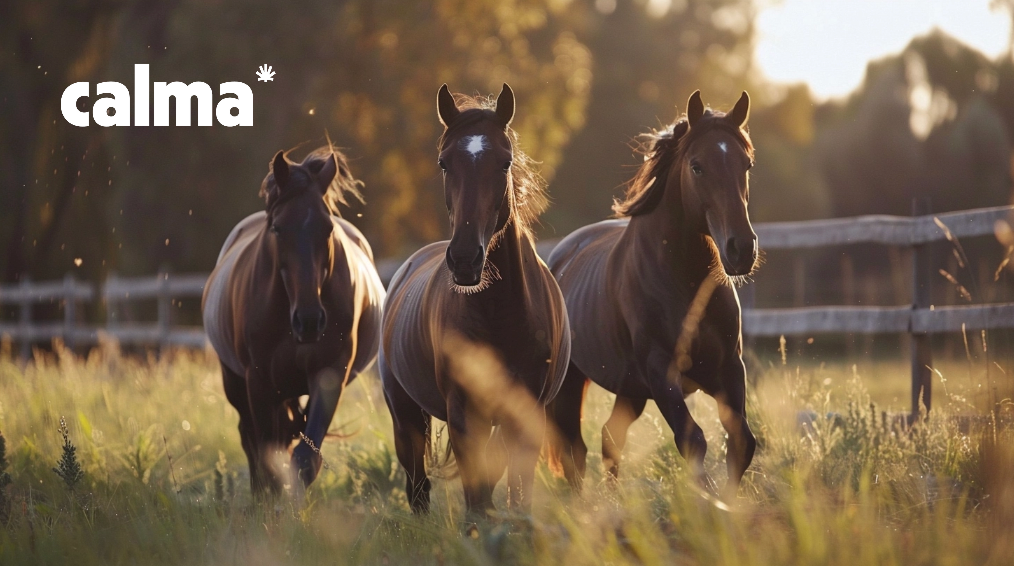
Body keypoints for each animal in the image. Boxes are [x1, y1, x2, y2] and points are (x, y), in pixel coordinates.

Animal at [202, 146, 385, 494]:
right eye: (278, 228)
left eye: (328, 229)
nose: (310, 320)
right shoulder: (258, 381)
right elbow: (266, 460)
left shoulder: (329, 375)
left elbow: (304, 460)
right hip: (236, 383)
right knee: (252, 443)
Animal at [379, 84, 570, 516]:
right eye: (444, 163)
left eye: (505, 163)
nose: (465, 258)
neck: (501, 312)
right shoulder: (464, 414)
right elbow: (476, 497)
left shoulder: (525, 412)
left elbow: (516, 490)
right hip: (405, 414)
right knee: (418, 485)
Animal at [546, 91, 758, 499]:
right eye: (697, 166)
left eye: (747, 164)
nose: (741, 249)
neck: (685, 284)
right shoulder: (661, 371)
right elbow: (693, 440)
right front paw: (709, 501)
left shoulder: (729, 368)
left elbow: (742, 441)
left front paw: (731, 503)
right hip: (572, 385)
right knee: (573, 450)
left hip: (631, 391)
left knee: (609, 437)